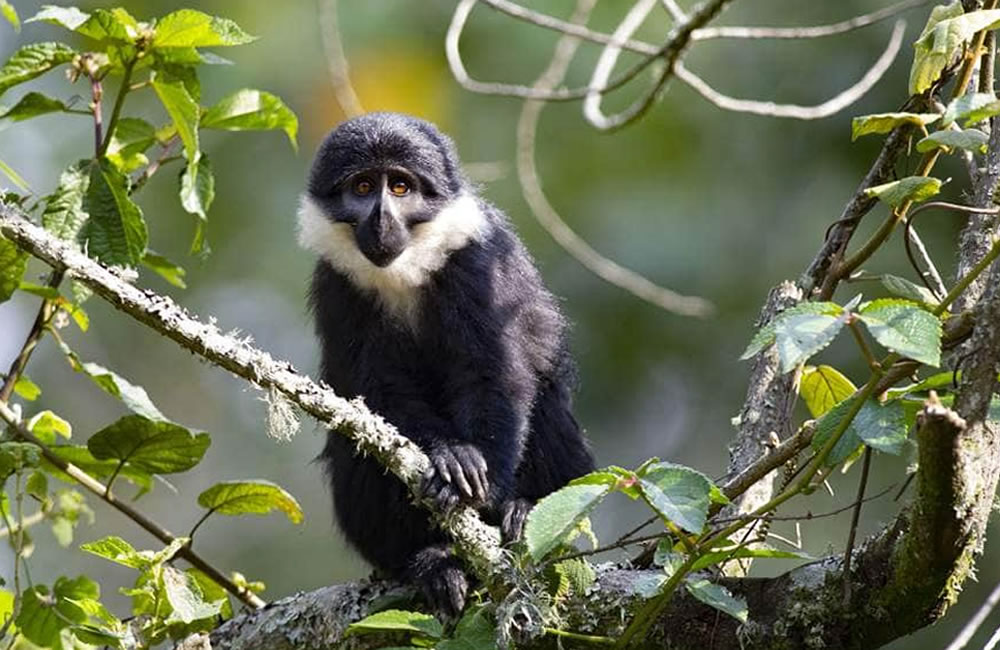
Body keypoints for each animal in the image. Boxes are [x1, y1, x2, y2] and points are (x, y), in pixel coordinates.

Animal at [296, 112, 592, 616]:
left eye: (399, 187)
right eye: (362, 187)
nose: (381, 219)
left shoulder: (476, 262)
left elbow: (493, 372)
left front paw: (482, 488)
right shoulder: (337, 285)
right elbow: (377, 388)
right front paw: (450, 455)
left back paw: (521, 512)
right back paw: (431, 559)